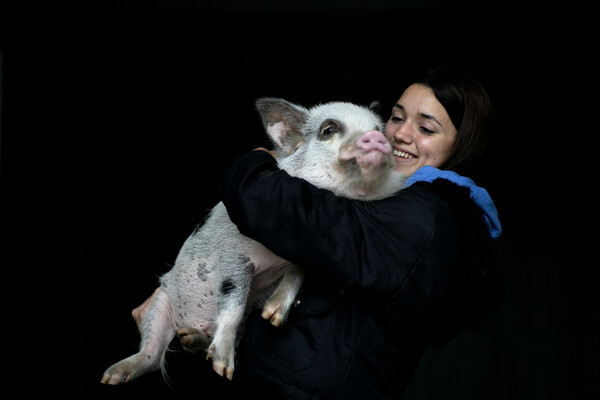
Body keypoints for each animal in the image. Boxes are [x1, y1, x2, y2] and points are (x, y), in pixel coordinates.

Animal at [101, 96, 406, 384]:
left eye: (378, 129)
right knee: (151, 354)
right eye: (328, 130)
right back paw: (113, 376)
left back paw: (190, 339)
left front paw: (272, 317)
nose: (377, 138)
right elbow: (233, 300)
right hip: (161, 301)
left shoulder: (307, 253)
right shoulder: (233, 252)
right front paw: (224, 370)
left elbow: (296, 273)